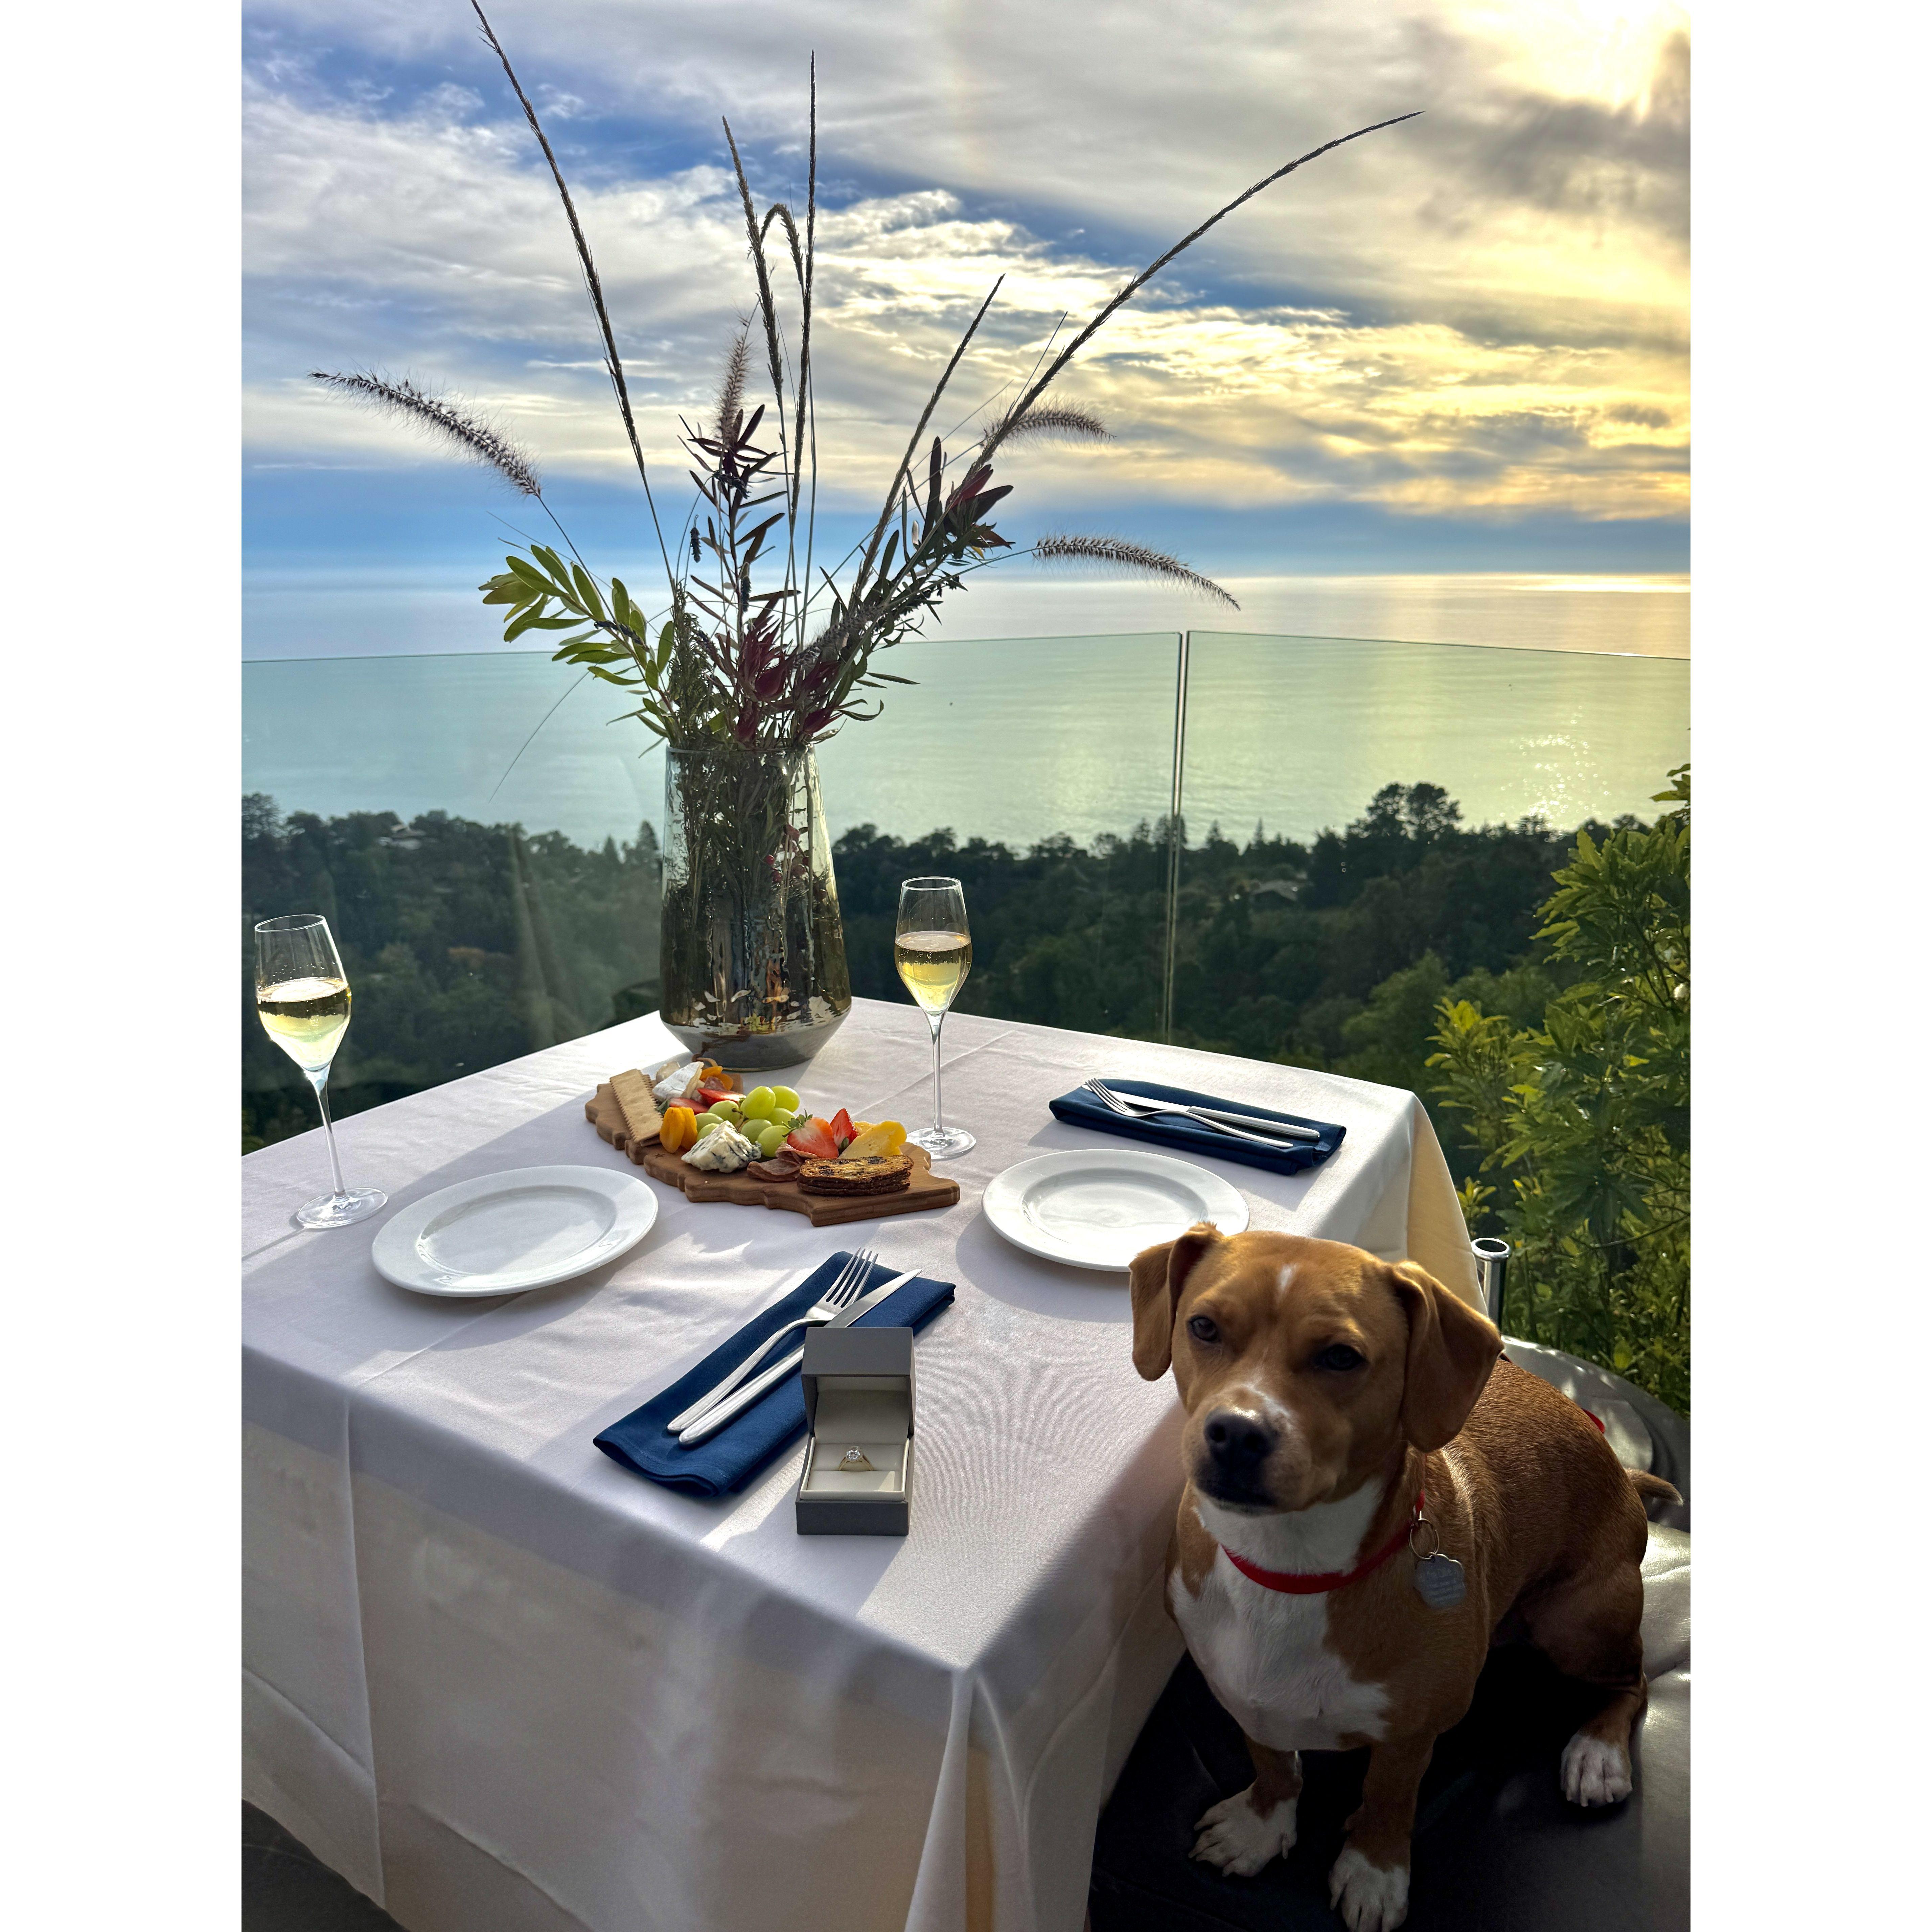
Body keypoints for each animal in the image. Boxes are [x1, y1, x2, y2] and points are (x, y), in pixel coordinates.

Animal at [1128, 1224, 1678, 1932]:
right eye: (1203, 1326)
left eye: (1341, 1356)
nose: (1235, 1433)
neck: (1287, 1567)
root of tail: (1621, 1471)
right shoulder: (1240, 1689)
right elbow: (1273, 1761)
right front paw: (1261, 1826)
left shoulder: (1412, 1731)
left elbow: (1390, 1795)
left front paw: (1374, 1868)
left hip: (1579, 1621)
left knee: (1632, 1682)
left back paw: (1596, 1752)